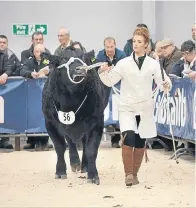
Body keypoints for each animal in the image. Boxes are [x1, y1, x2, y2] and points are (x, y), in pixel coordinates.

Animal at [42, 49, 111, 185]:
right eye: (63, 59)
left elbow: (91, 149)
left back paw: (84, 165)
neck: (71, 99)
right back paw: (75, 163)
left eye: (83, 57)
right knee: (70, 141)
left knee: (83, 144)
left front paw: (93, 175)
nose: (80, 69)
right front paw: (60, 171)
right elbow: (60, 147)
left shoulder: (96, 122)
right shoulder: (50, 122)